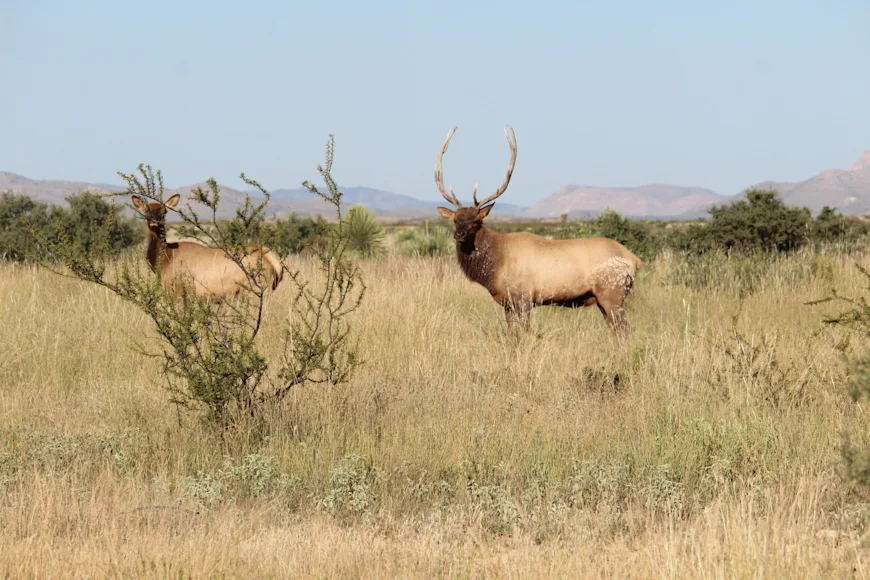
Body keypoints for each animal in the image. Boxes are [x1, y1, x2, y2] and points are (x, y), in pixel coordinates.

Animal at [131, 194, 283, 302]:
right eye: (146, 210)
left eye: (164, 211)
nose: (155, 221)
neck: (164, 259)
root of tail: (274, 262)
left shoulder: (181, 293)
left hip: (257, 291)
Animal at [434, 125, 642, 337]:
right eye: (456, 220)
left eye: (477, 221)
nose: (459, 234)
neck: (494, 267)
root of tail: (635, 260)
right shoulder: (509, 303)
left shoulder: (524, 298)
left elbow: (522, 333)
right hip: (603, 298)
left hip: (612, 293)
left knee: (625, 331)